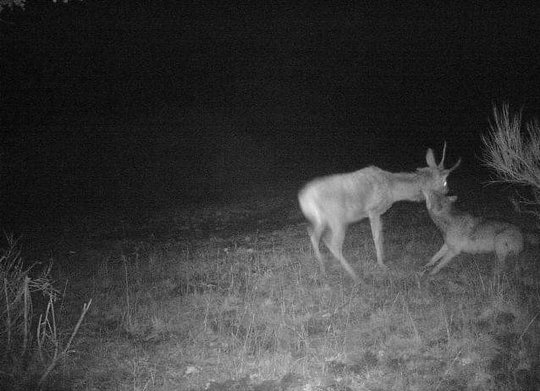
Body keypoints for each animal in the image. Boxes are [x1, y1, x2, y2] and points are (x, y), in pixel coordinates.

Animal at [300, 144, 460, 282]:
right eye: (445, 181)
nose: (448, 191)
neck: (393, 190)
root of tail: (303, 198)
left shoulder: (379, 213)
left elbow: (381, 235)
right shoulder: (373, 210)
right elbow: (376, 237)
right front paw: (382, 265)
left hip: (321, 220)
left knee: (313, 234)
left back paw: (323, 269)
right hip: (337, 218)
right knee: (332, 243)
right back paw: (356, 277)